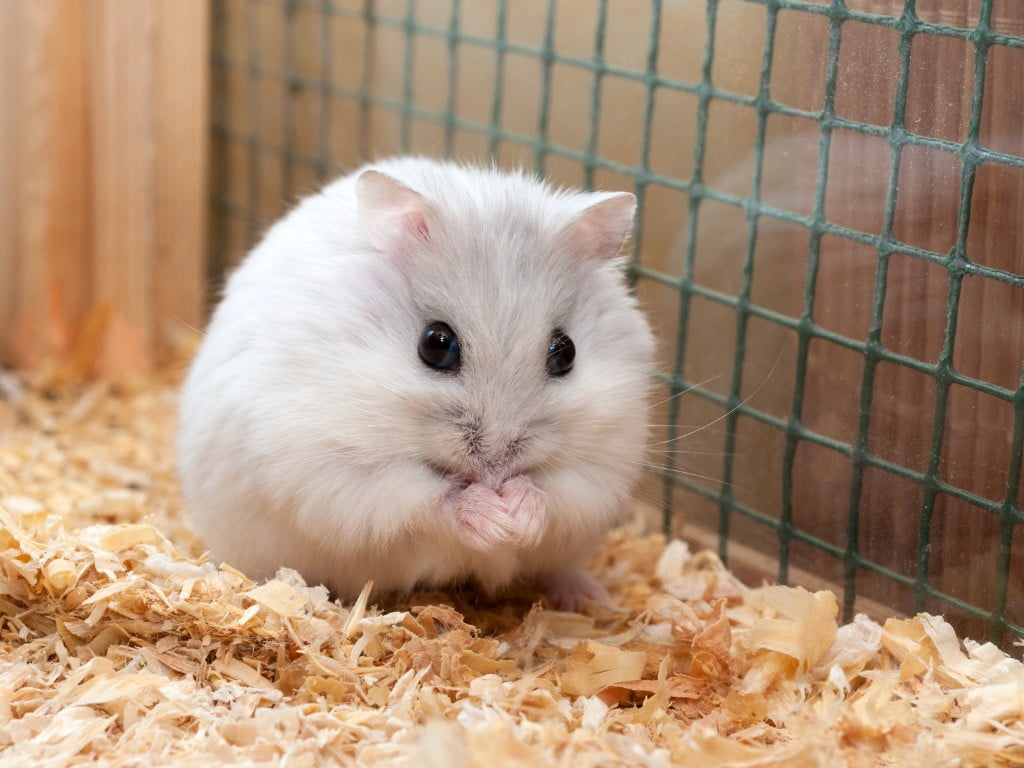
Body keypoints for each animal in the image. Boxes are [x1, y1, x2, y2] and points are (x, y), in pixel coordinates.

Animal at [178, 157, 655, 614]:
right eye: (436, 344)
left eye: (566, 352)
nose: (496, 468)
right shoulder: (335, 469)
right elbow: (426, 499)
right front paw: (494, 520)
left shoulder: (604, 464)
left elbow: (558, 492)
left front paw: (517, 516)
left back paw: (589, 599)